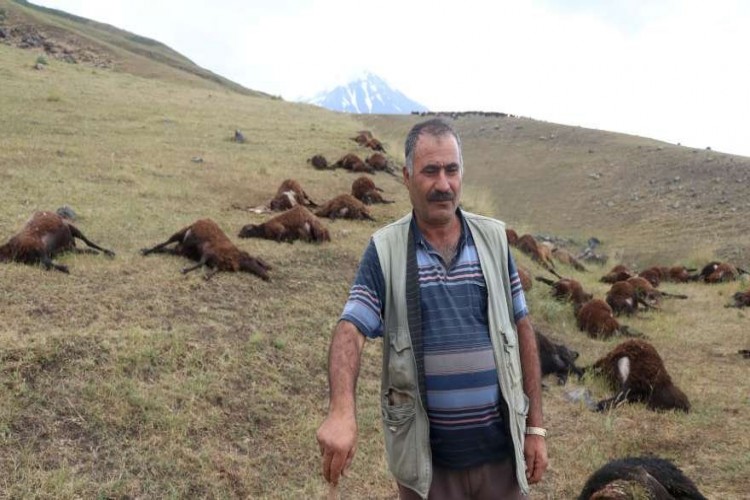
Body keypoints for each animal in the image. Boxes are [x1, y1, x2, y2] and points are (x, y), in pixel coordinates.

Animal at [141, 219, 270, 282]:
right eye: (255, 262)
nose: (267, 277)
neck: (238, 259)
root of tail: (199, 220)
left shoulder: (216, 262)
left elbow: (213, 269)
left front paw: (206, 276)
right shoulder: (208, 251)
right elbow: (201, 263)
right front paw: (185, 270)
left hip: (180, 249)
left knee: (164, 248)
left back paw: (145, 250)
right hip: (180, 233)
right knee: (163, 243)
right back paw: (145, 251)